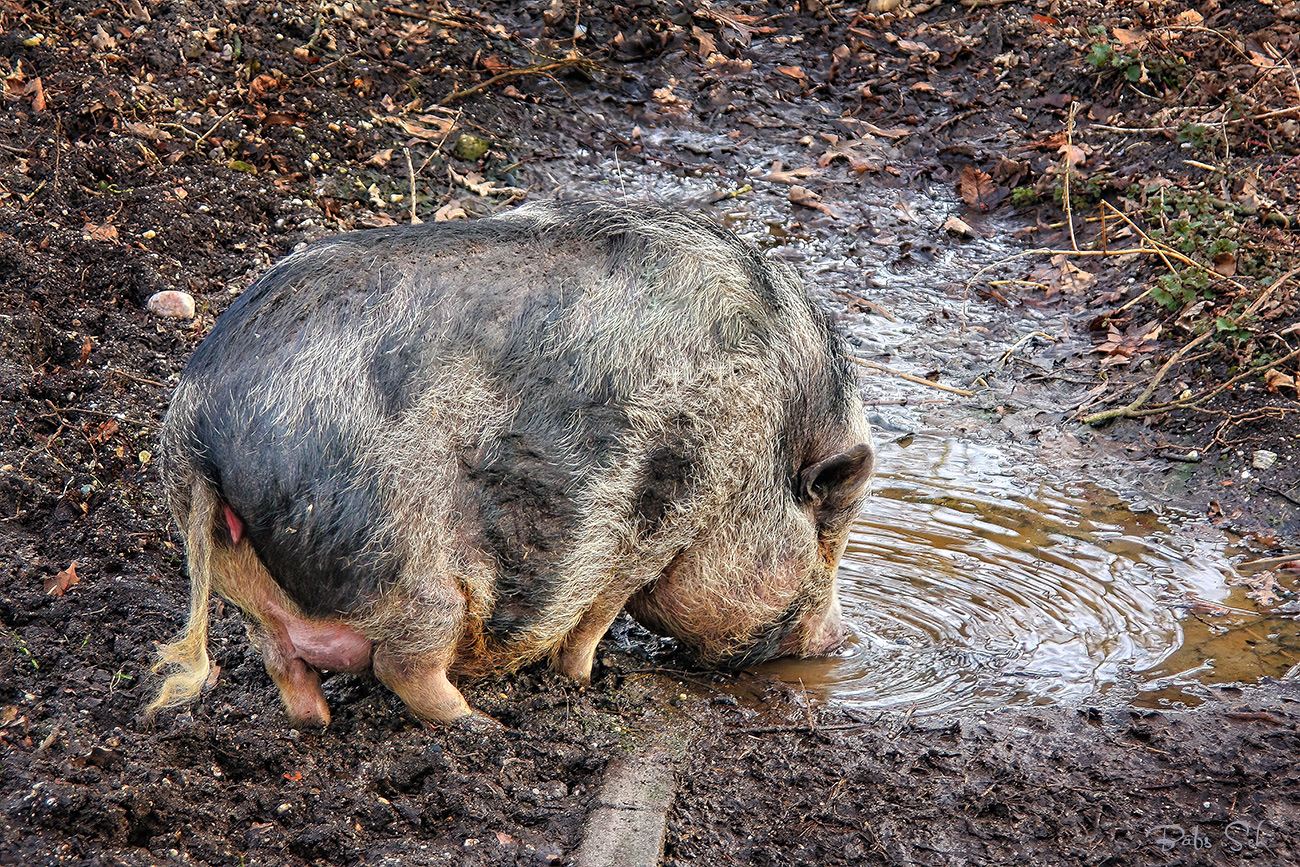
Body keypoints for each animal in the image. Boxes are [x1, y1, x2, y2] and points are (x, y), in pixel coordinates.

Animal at [147, 201, 878, 727]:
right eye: (827, 537)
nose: (841, 639)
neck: (764, 443)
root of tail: (199, 421)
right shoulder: (656, 520)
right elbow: (597, 616)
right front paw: (586, 681)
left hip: (243, 582)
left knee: (284, 665)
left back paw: (321, 722)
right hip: (410, 574)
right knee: (403, 665)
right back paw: (484, 726)